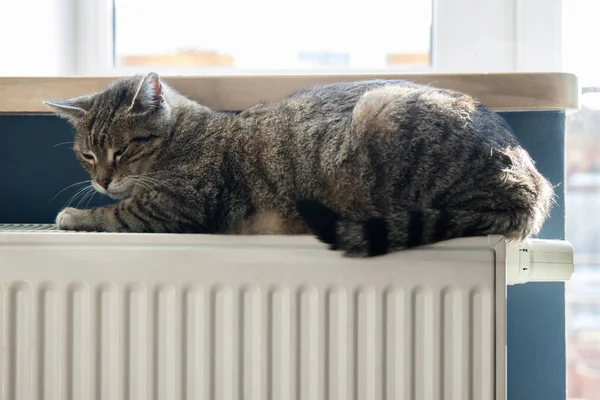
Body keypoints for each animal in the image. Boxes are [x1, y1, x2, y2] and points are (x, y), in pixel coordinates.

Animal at [45, 72, 552, 256]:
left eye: (122, 150)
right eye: (87, 154)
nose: (102, 179)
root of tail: (531, 185)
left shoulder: (177, 205)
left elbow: (115, 214)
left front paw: (75, 215)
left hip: (383, 113)